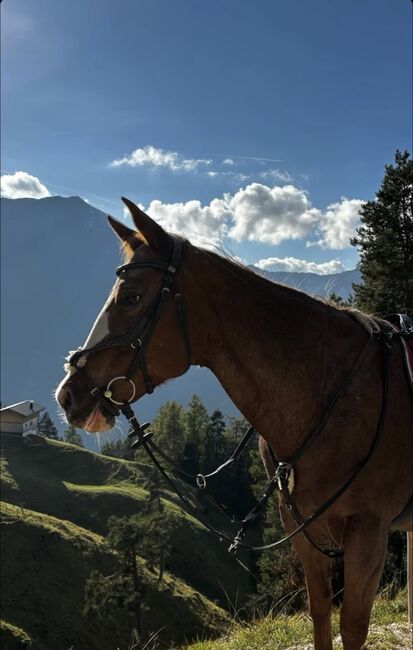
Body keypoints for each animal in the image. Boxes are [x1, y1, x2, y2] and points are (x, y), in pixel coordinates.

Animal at [56, 197, 413, 650]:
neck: (331, 392)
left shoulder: (369, 531)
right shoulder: (300, 529)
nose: (68, 394)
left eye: (132, 297)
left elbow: (352, 626)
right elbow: (320, 614)